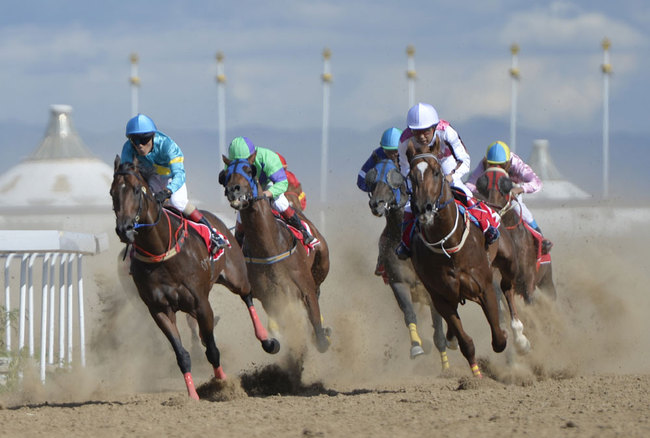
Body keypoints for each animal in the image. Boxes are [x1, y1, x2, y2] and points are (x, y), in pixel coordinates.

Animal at [110, 157, 278, 400]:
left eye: (135, 189)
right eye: (112, 192)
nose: (125, 229)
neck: (162, 250)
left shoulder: (201, 303)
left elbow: (213, 350)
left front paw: (223, 384)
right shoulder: (159, 310)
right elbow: (182, 355)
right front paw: (193, 396)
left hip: (236, 277)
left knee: (247, 297)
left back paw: (267, 340)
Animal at [220, 154, 332, 352]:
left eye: (249, 170)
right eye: (225, 175)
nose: (233, 190)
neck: (269, 249)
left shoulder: (306, 289)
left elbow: (317, 330)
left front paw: (320, 334)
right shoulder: (271, 300)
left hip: (322, 264)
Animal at [360, 158, 450, 370]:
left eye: (395, 176)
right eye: (372, 178)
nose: (376, 204)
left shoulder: (433, 291)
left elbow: (439, 331)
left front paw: (446, 367)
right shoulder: (398, 281)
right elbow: (409, 314)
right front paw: (416, 346)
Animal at [400, 141, 512, 376]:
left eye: (436, 172)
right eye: (411, 176)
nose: (423, 208)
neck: (448, 247)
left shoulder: (484, 287)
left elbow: (499, 339)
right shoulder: (440, 297)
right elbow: (465, 341)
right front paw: (476, 375)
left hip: (508, 260)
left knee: (509, 287)